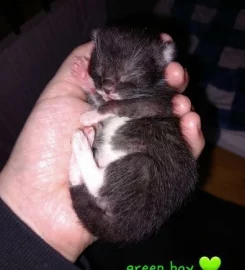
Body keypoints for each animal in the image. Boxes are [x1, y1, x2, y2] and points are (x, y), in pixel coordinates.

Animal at [68, 26, 197, 243]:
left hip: (141, 167)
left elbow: (117, 105)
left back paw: (81, 143)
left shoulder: (155, 103)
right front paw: (84, 76)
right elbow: (99, 99)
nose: (107, 88)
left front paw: (90, 115)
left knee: (98, 184)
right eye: (99, 72)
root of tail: (130, 228)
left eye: (128, 75)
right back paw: (85, 145)